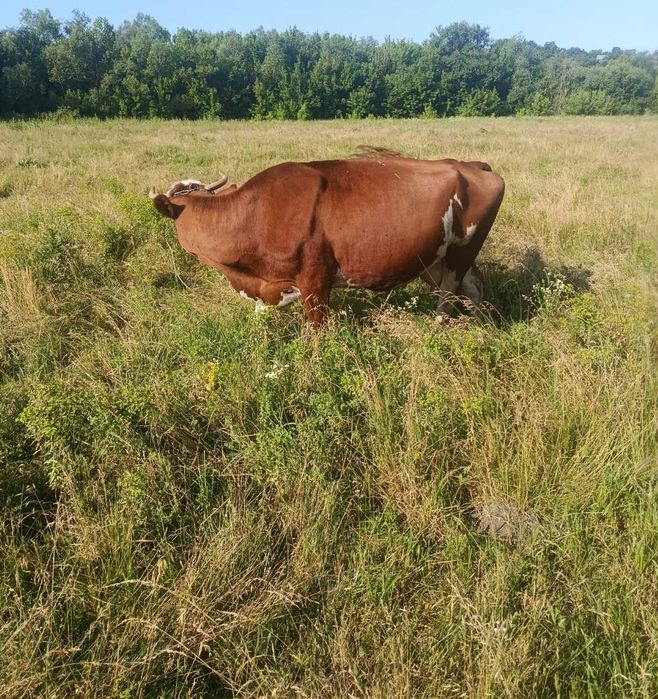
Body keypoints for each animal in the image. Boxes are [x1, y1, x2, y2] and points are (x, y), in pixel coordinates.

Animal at [149, 149, 505, 325]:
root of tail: (471, 164)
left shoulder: (315, 280)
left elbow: (317, 330)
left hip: (461, 252)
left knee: (448, 297)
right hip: (438, 257)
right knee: (473, 289)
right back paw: (482, 327)